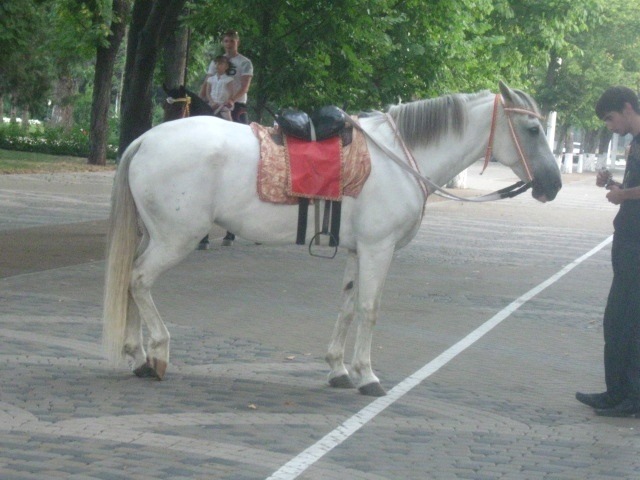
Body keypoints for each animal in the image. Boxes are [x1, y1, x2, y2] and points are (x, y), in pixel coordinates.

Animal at [104, 82, 560, 396]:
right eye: (532, 129)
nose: (553, 186)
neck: (399, 157)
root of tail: (146, 139)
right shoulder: (379, 249)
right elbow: (369, 309)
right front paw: (368, 376)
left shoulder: (359, 251)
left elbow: (347, 307)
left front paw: (339, 370)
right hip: (175, 239)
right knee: (139, 281)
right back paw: (157, 354)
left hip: (153, 235)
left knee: (128, 281)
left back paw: (136, 355)